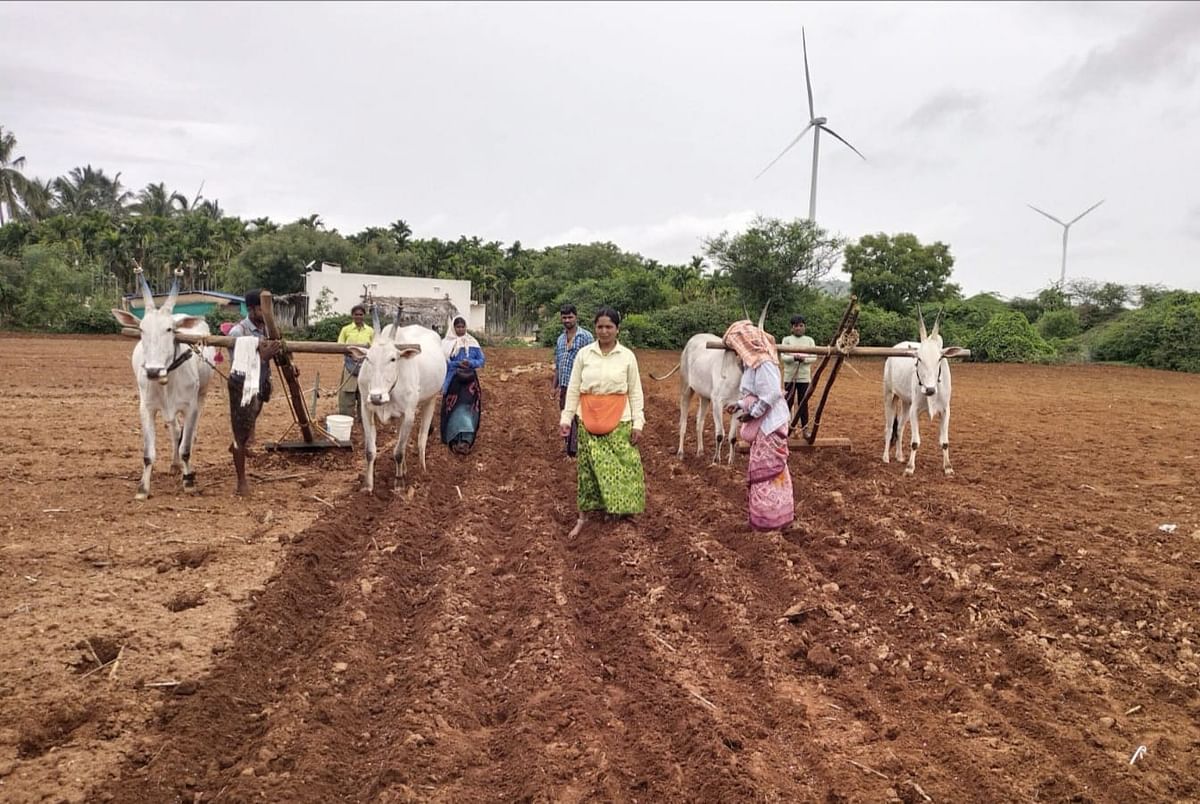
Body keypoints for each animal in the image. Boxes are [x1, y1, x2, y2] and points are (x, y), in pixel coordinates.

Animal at [111, 272, 214, 496]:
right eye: (141, 329)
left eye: (169, 329)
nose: (152, 371)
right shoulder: (146, 408)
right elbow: (149, 453)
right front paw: (143, 488)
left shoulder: (190, 407)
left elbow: (186, 447)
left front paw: (189, 481)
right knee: (175, 432)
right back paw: (174, 465)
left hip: (202, 395)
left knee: (189, 436)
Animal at [350, 319, 448, 494]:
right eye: (367, 358)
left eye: (393, 359)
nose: (376, 397)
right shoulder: (366, 411)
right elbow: (370, 451)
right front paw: (368, 486)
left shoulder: (409, 415)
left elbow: (399, 452)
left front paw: (399, 484)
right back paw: (405, 469)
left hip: (431, 399)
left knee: (421, 438)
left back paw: (422, 471)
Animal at [657, 331, 739, 463]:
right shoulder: (717, 402)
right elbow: (720, 434)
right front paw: (716, 460)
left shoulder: (738, 407)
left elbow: (733, 437)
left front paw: (731, 462)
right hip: (686, 389)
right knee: (683, 422)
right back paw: (680, 453)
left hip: (705, 397)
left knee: (699, 422)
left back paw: (700, 451)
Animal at [883, 307, 964, 472]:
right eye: (919, 358)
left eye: (940, 358)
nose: (930, 390)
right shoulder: (915, 410)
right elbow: (915, 442)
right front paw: (909, 468)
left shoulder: (946, 410)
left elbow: (944, 442)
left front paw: (948, 467)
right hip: (889, 395)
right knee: (888, 428)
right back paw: (886, 457)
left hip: (906, 402)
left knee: (899, 428)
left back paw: (899, 456)